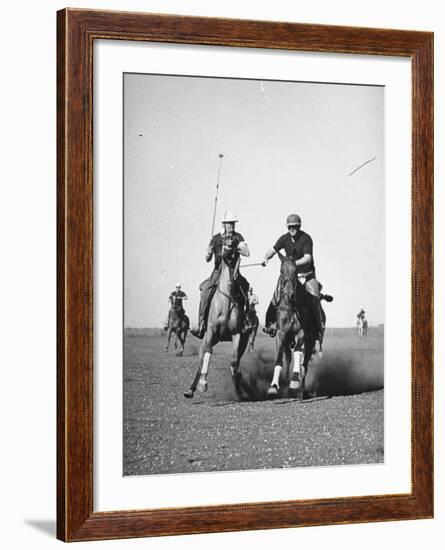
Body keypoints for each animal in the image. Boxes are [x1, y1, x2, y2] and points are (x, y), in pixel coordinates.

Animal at [184, 248, 251, 398]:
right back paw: (191, 389)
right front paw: (203, 384)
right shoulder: (211, 331)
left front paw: (239, 386)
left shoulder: (237, 334)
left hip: (241, 343)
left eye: (235, 247)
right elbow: (208, 353)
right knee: (201, 360)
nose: (226, 252)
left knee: (236, 361)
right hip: (208, 339)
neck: (226, 300)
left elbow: (234, 362)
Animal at [268, 258, 320, 402]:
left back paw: (301, 392)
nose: (289, 293)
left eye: (296, 271)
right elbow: (279, 359)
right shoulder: (281, 334)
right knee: (287, 361)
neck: (291, 305)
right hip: (287, 342)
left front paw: (295, 381)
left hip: (310, 342)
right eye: (281, 271)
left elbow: (297, 352)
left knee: (304, 366)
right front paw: (274, 386)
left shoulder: (301, 333)